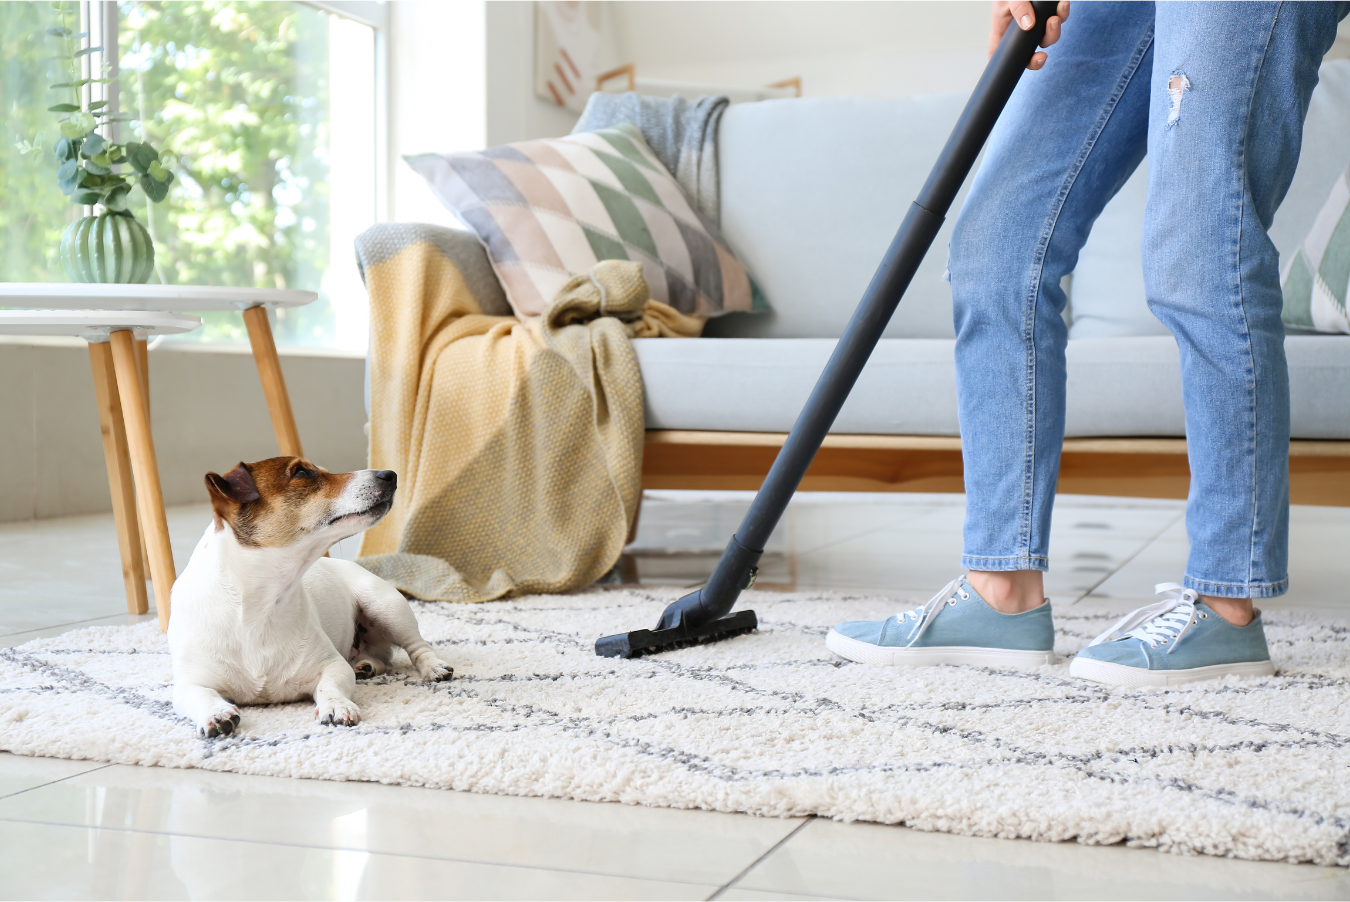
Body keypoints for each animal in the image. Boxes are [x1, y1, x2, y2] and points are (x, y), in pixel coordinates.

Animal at [168, 453, 450, 734]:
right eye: (302, 472)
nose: (390, 475)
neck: (258, 606)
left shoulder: (332, 665)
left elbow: (330, 686)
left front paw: (336, 705)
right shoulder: (188, 683)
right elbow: (201, 694)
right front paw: (215, 713)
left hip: (386, 607)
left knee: (417, 646)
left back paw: (432, 667)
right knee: (382, 657)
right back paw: (365, 665)